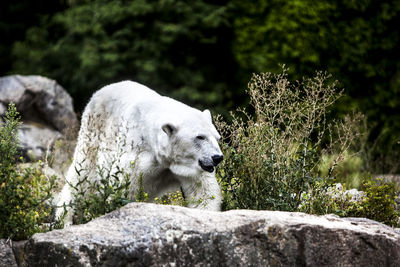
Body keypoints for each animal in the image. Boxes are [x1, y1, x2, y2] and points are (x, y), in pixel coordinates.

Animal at [55, 80, 223, 225]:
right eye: (200, 137)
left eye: (217, 137)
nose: (217, 158)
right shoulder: (134, 156)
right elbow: (124, 191)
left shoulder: (190, 166)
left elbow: (202, 192)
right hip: (92, 134)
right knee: (82, 176)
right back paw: (65, 219)